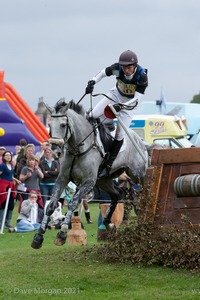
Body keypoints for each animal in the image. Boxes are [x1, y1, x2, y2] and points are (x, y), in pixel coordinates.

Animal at [30, 100, 147, 248]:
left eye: (63, 125)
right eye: (50, 125)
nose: (56, 152)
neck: (77, 149)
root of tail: (140, 140)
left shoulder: (88, 182)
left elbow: (73, 203)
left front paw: (62, 234)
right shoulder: (62, 179)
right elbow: (51, 205)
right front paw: (38, 236)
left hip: (137, 174)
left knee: (143, 191)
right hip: (103, 180)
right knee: (117, 194)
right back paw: (108, 223)